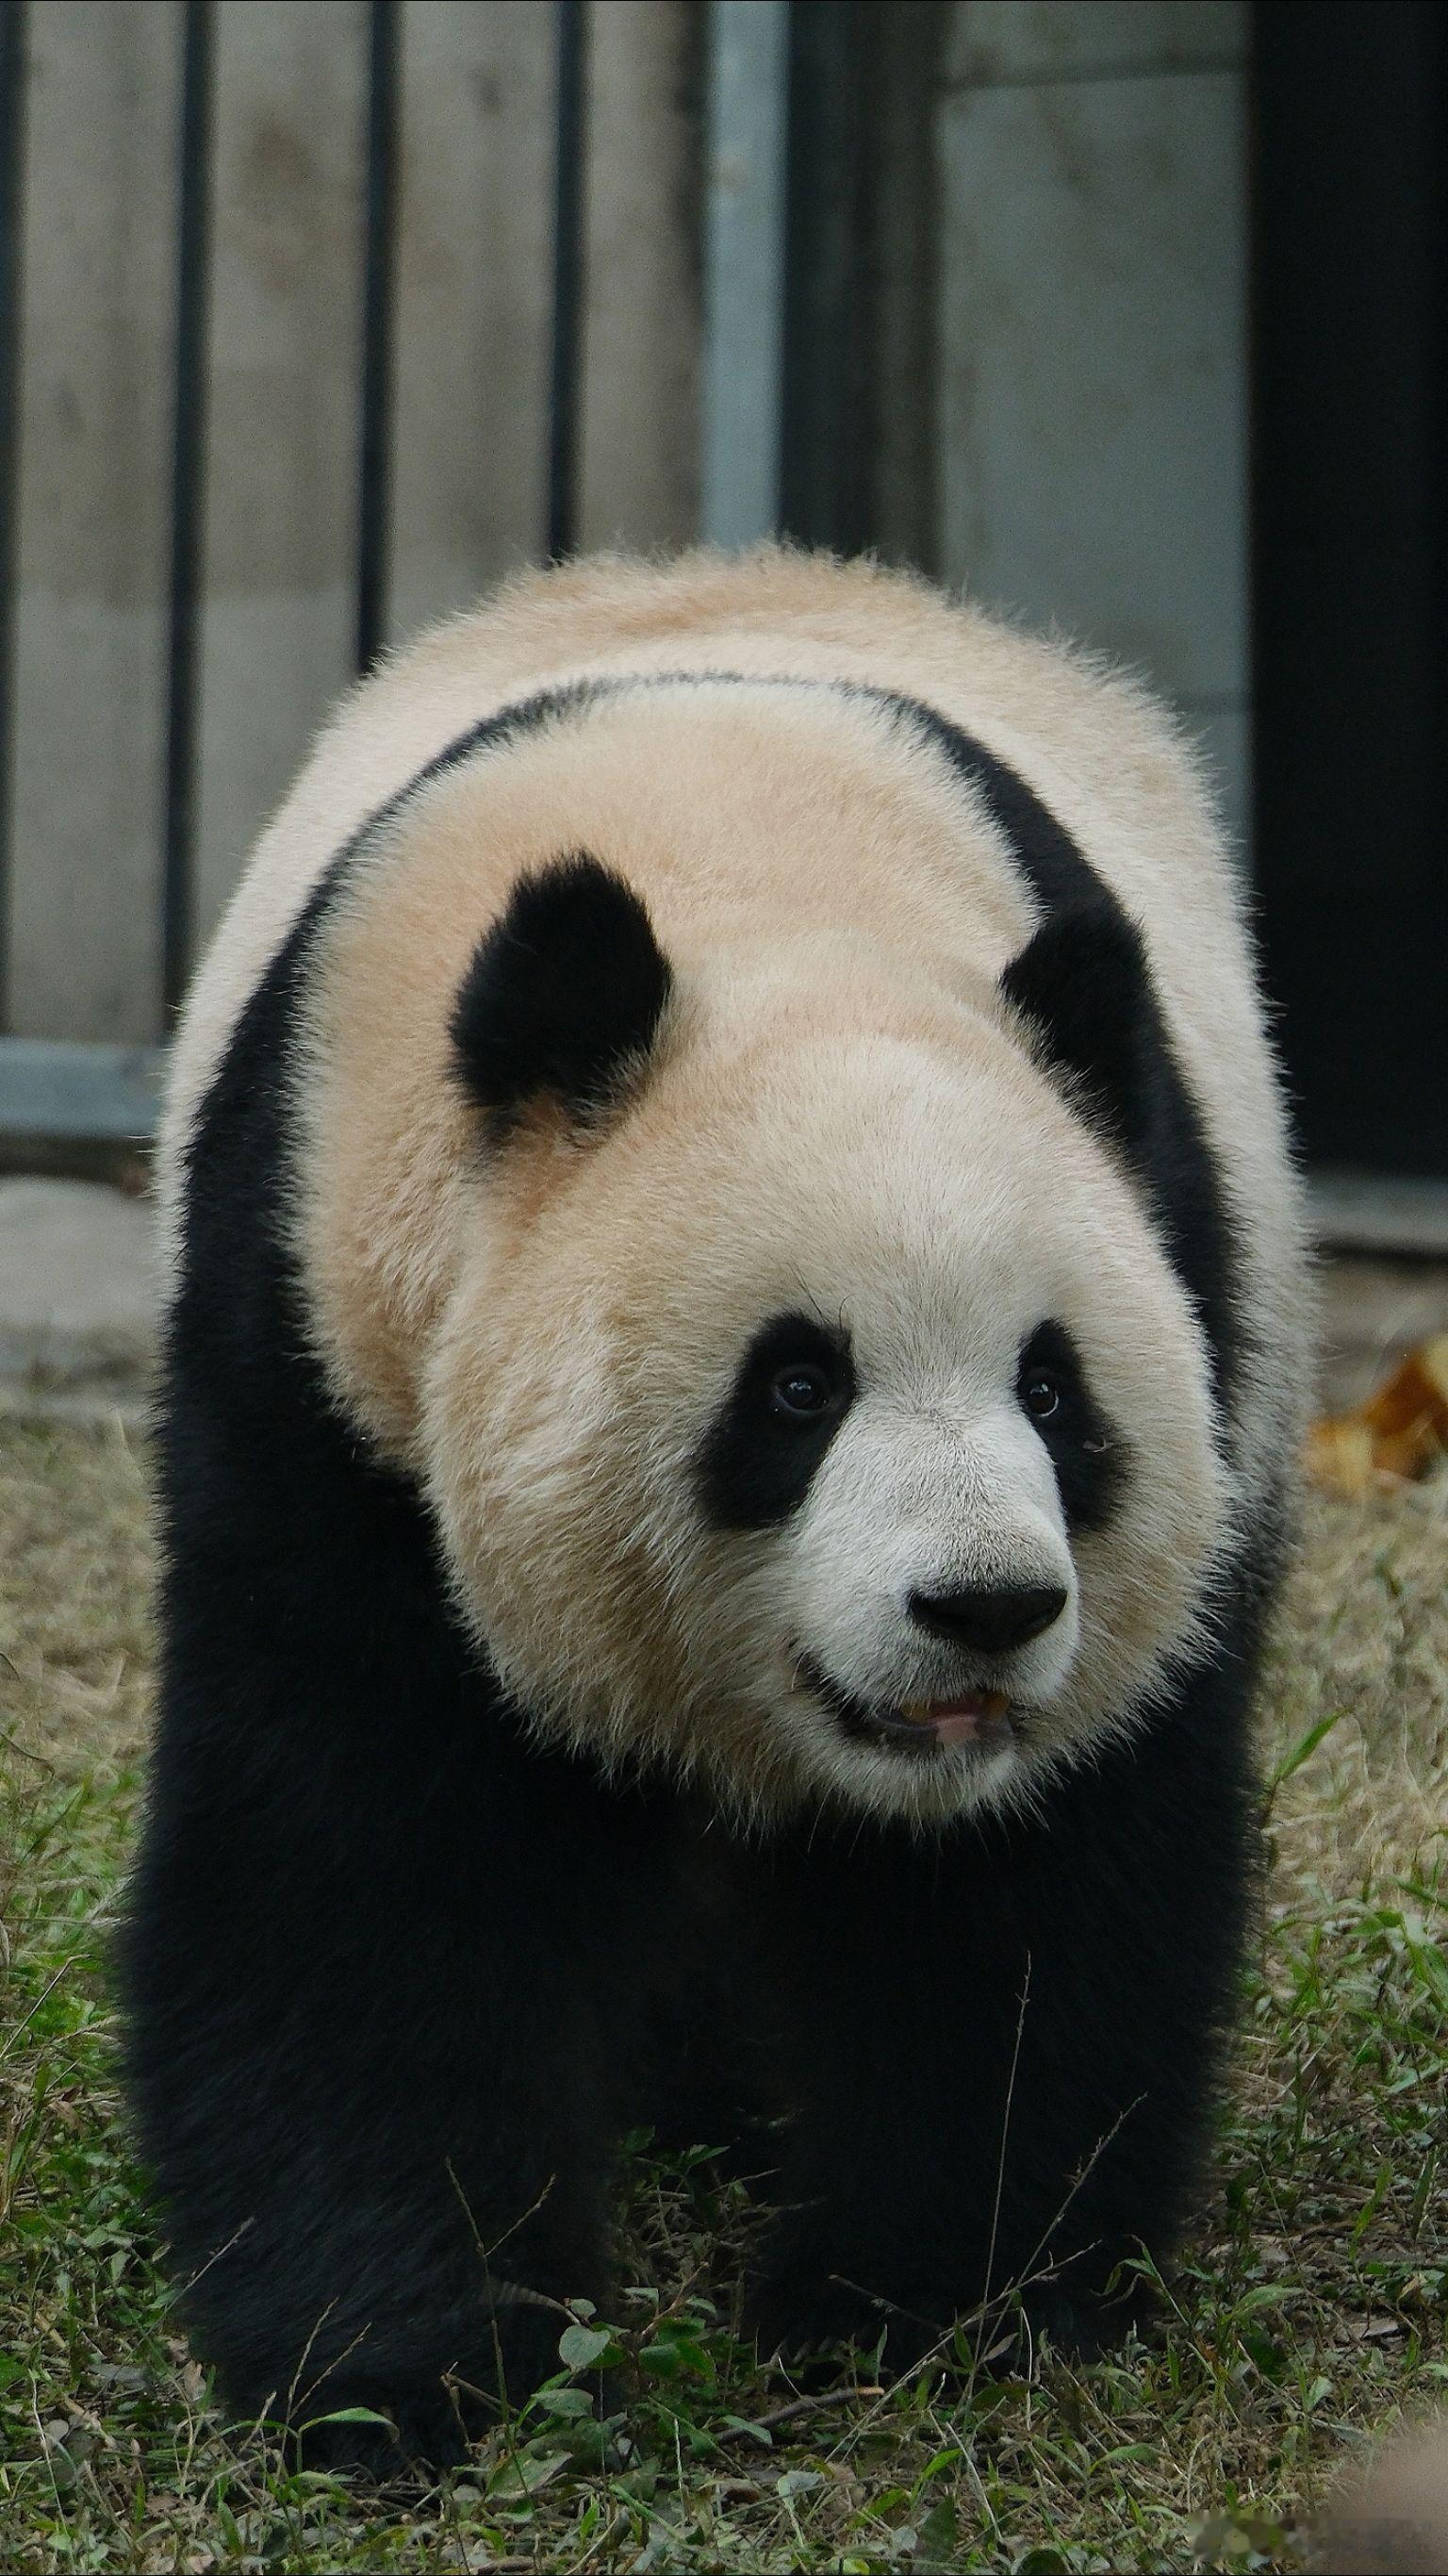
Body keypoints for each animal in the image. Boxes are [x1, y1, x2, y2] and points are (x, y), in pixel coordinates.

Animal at [123, 548, 1308, 2472]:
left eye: (1053, 1390)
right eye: (796, 1388)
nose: (983, 1609)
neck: (748, 865)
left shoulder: (1185, 1264)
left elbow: (1021, 1904)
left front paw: (929, 2309)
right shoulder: (322, 1350)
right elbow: (360, 1856)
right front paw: (409, 2372)